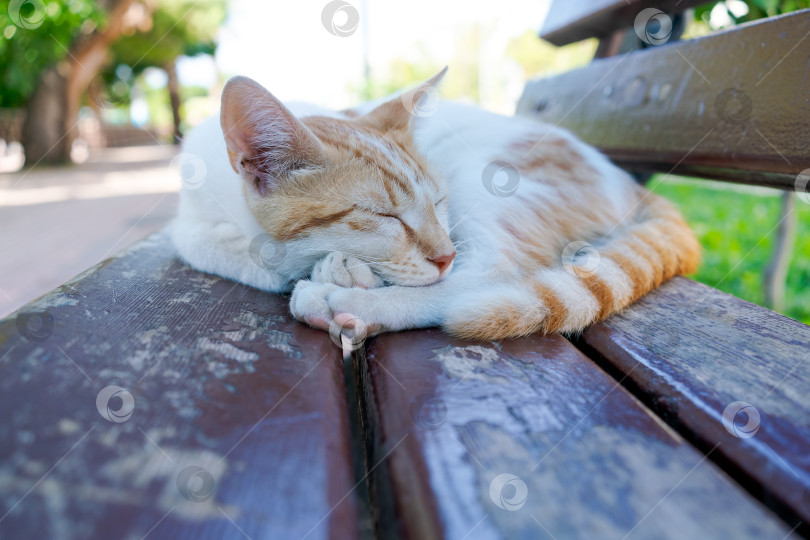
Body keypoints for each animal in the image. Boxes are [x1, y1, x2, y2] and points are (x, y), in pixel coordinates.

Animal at [169, 66, 696, 338]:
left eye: (439, 202)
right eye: (381, 216)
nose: (444, 254)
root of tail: (631, 183)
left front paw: (338, 273)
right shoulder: (190, 219)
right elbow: (214, 245)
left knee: (488, 274)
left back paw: (349, 301)